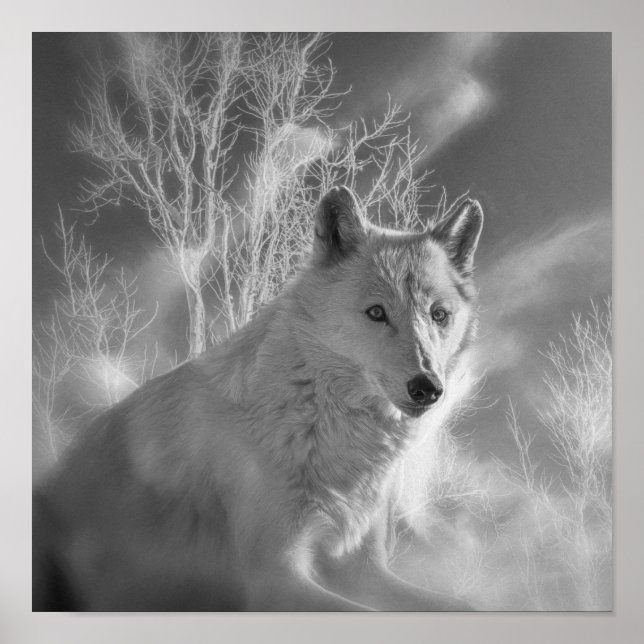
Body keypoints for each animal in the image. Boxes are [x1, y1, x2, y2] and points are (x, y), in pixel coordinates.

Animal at [33, 186, 484, 611]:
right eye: (376, 313)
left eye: (439, 315)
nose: (427, 387)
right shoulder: (274, 579)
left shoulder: (363, 571)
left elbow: (464, 606)